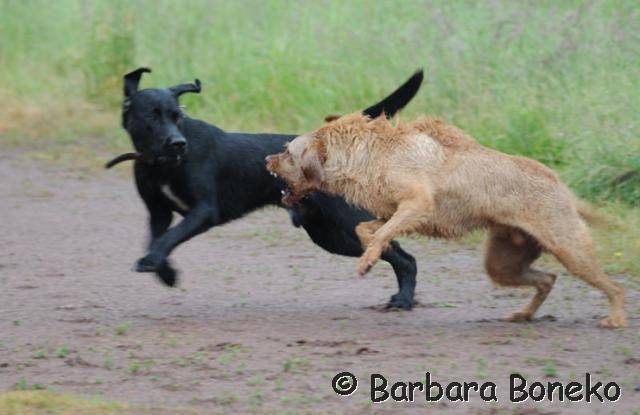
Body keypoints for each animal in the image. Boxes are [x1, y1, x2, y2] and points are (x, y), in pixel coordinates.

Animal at [109, 67, 420, 308]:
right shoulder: (158, 212)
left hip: (345, 221)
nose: (178, 143)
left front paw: (156, 263)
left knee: (404, 256)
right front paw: (165, 271)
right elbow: (157, 238)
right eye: (152, 116)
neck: (163, 165)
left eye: (177, 116)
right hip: (330, 235)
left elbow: (169, 237)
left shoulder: (204, 211)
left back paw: (403, 301)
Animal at [264, 113, 624, 328]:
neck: (368, 155)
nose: (267, 158)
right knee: (547, 279)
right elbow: (366, 229)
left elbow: (382, 231)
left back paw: (616, 318)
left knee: (615, 286)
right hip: (503, 262)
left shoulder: (418, 202)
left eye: (287, 152)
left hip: (570, 249)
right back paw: (523, 314)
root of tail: (561, 186)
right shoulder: (390, 211)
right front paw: (374, 253)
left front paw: (367, 260)